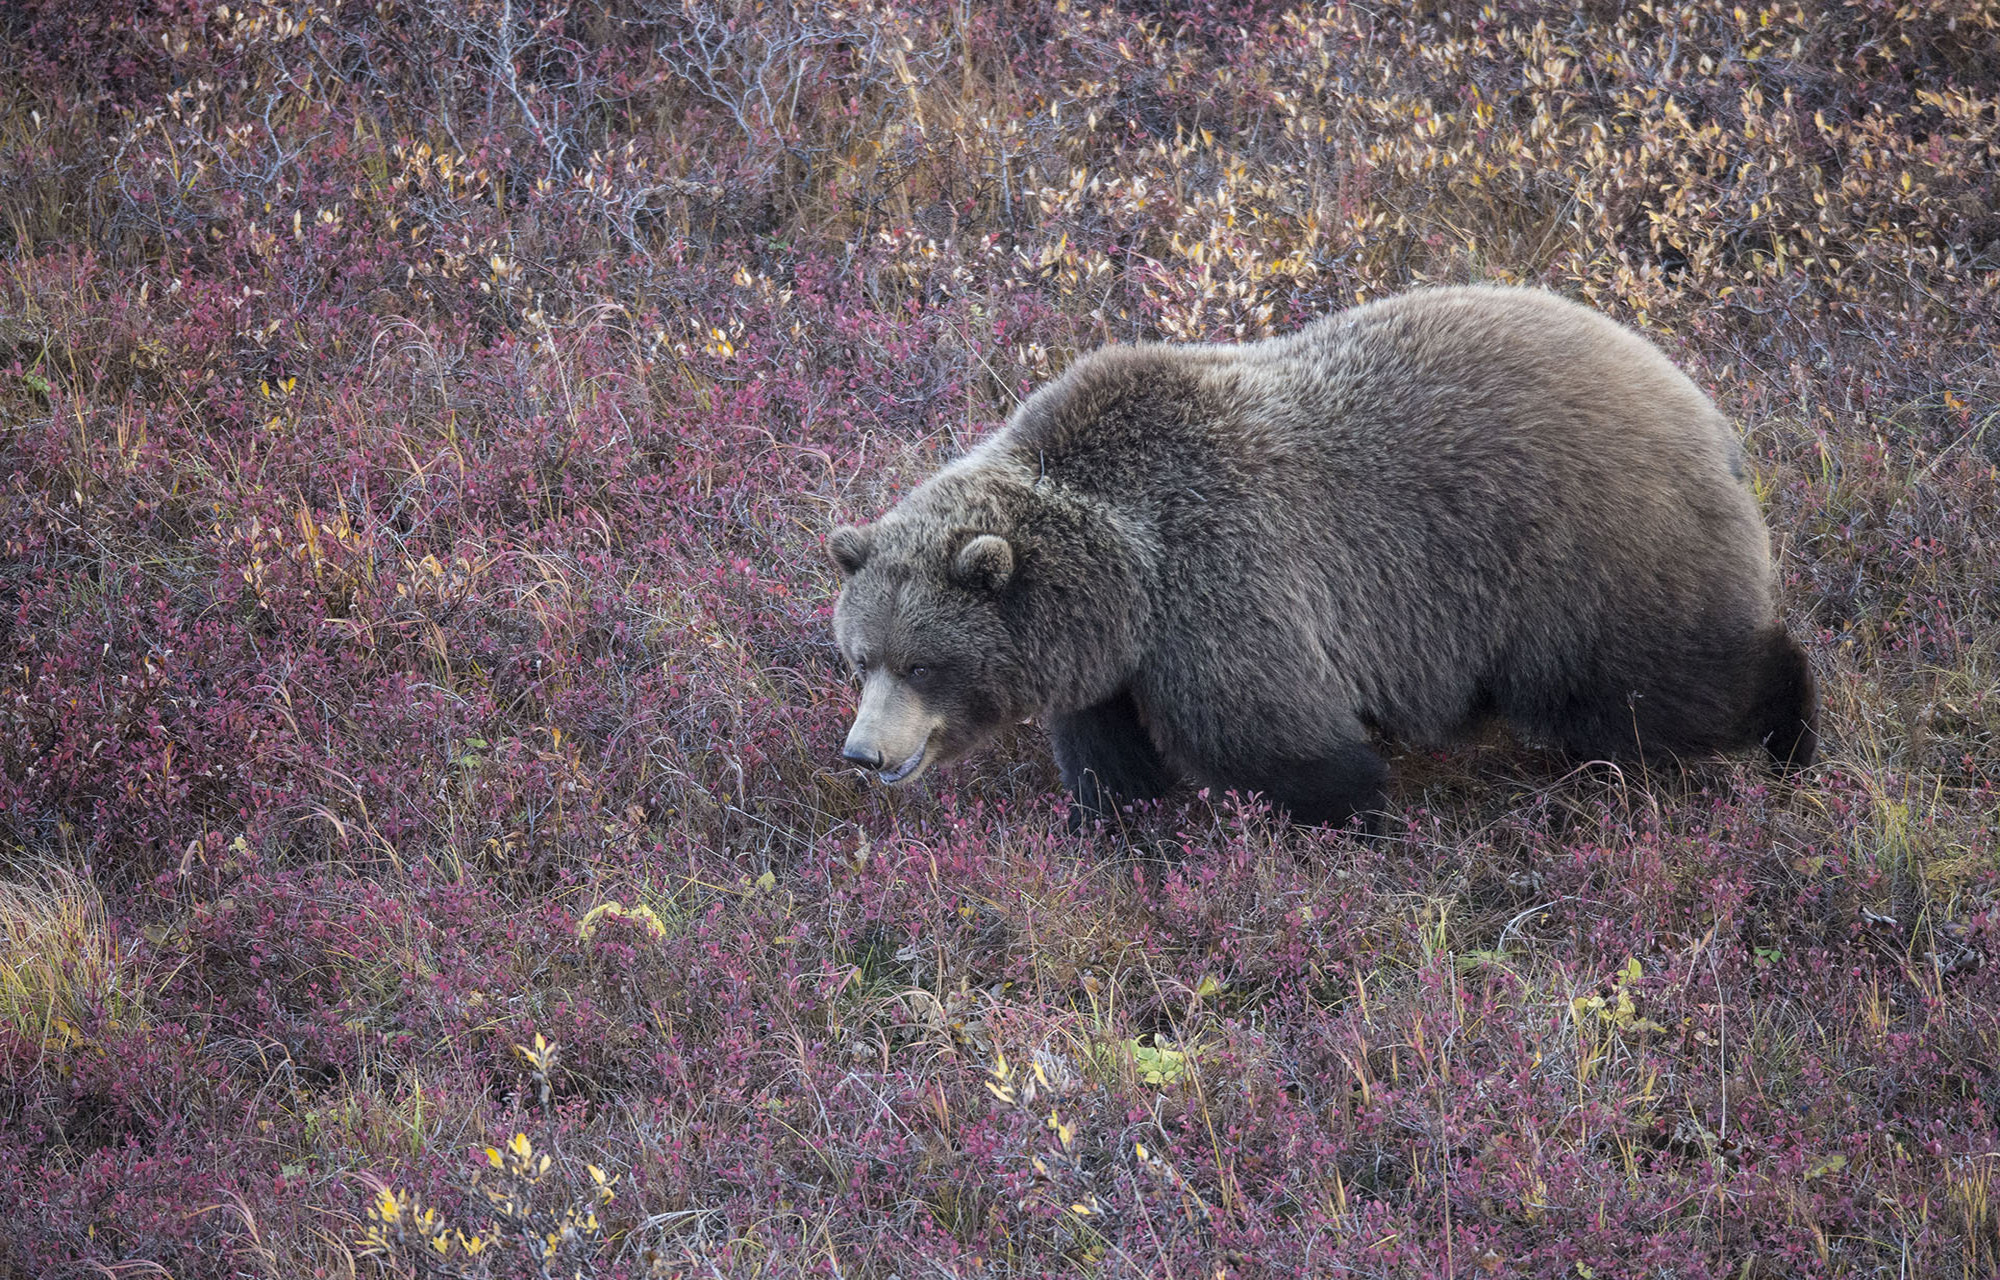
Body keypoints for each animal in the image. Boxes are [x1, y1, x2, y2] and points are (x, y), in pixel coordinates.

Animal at [824, 282, 1816, 832]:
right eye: (862, 657)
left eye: (922, 662)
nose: (864, 754)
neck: (1122, 587)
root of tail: (1704, 408)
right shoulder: (1111, 671)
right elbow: (1113, 767)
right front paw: (1122, 827)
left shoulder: (1221, 590)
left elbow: (1284, 744)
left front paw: (1358, 818)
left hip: (1591, 561)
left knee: (1665, 687)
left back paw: (1790, 736)